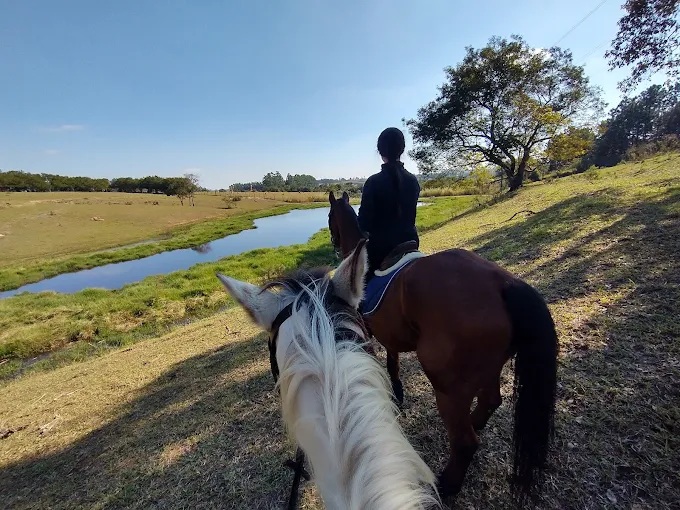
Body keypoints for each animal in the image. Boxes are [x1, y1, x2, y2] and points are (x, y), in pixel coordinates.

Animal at [328, 191, 559, 506]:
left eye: (329, 218)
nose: (333, 242)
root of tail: (504, 283)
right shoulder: (390, 336)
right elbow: (392, 358)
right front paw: (396, 392)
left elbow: (384, 361)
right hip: (488, 369)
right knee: (489, 402)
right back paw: (474, 424)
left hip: (448, 387)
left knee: (464, 442)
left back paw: (446, 484)